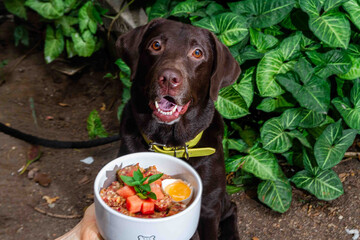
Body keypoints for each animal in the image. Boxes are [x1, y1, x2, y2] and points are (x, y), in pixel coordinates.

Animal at [116, 18, 240, 240]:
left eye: (197, 52)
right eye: (156, 45)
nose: (168, 78)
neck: (169, 142)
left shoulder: (209, 207)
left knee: (232, 208)